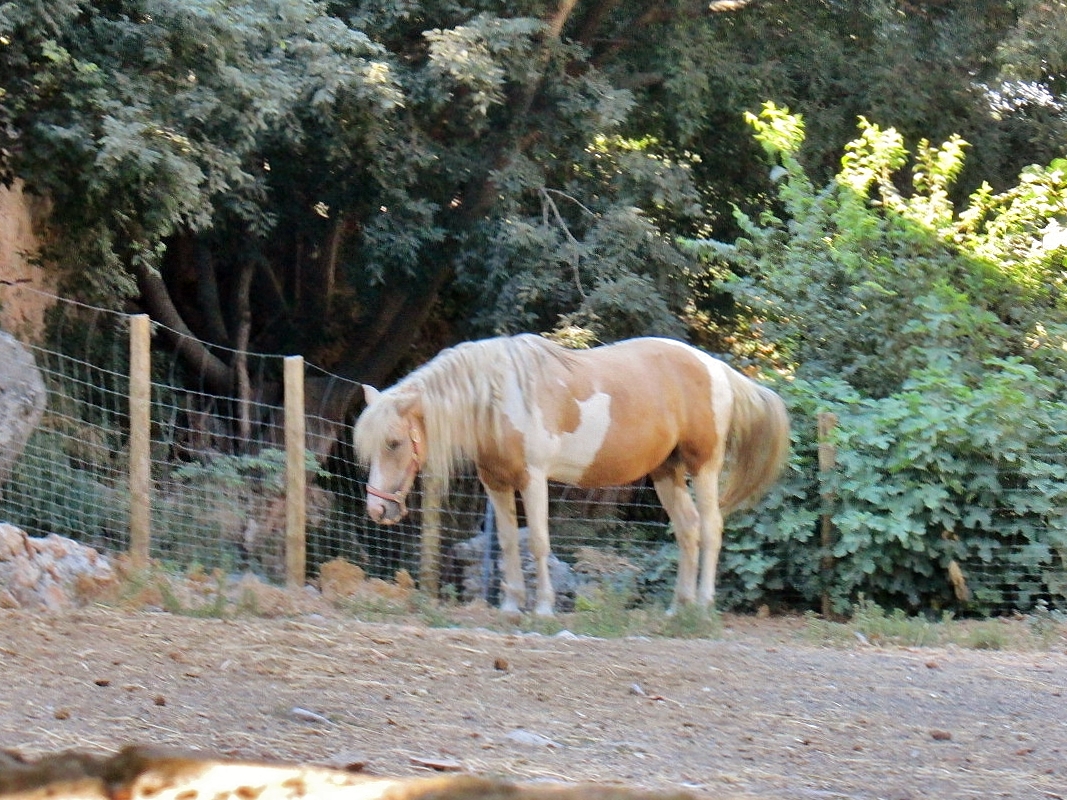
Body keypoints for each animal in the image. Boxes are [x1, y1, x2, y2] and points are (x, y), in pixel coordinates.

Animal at [354, 334, 789, 618]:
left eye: (394, 442)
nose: (377, 510)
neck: (498, 398)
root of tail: (716, 368)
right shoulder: (496, 482)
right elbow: (508, 544)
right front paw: (511, 605)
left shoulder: (532, 480)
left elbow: (539, 543)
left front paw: (543, 608)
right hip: (667, 472)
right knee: (688, 529)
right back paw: (676, 608)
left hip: (704, 466)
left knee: (712, 527)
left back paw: (701, 607)